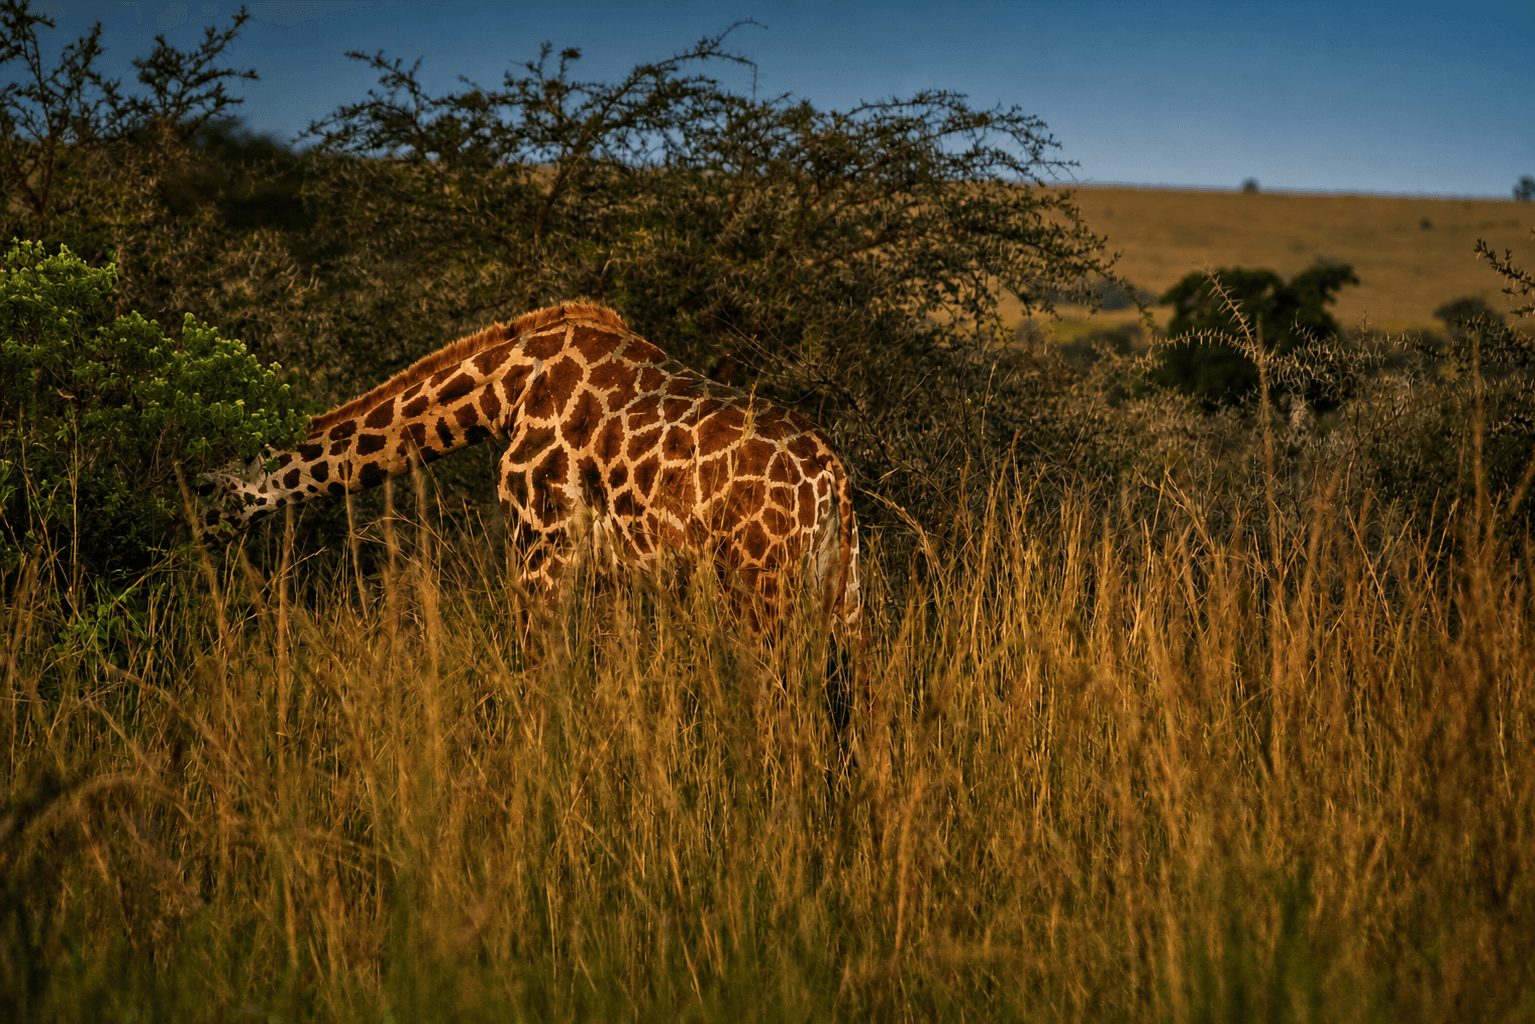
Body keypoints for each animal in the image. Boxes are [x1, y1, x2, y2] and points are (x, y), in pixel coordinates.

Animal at [201, 302, 861, 638]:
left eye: (210, 491)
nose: (195, 540)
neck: (506, 390)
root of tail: (831, 479)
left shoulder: (539, 543)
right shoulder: (609, 573)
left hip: (761, 585)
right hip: (844, 592)